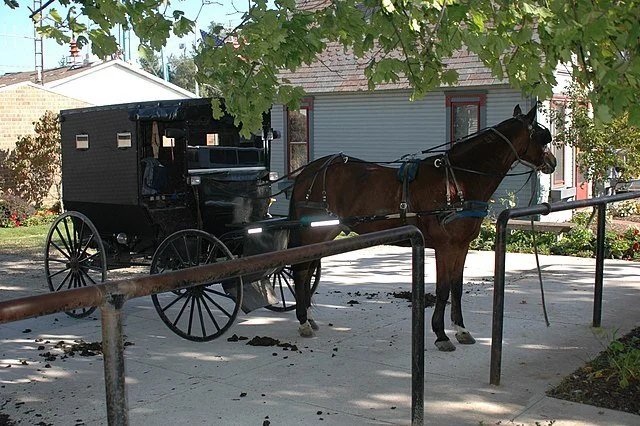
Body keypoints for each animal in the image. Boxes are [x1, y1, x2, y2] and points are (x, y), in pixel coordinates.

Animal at [287, 104, 556, 351]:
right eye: (542, 137)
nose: (552, 162)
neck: (457, 181)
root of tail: (307, 172)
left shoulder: (461, 246)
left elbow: (457, 288)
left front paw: (461, 329)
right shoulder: (445, 247)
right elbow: (443, 290)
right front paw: (441, 334)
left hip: (323, 233)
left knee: (307, 269)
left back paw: (309, 316)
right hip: (314, 232)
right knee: (301, 271)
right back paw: (303, 321)